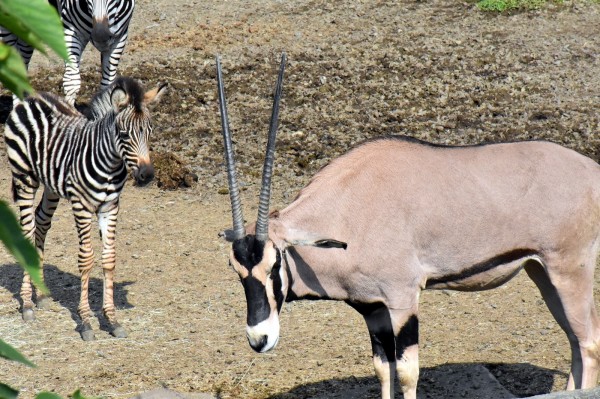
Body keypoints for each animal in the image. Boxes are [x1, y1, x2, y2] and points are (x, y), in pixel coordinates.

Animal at [3, 76, 166, 340]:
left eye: (149, 131)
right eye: (124, 134)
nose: (147, 175)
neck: (111, 164)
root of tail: (33, 96)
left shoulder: (110, 207)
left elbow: (109, 258)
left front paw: (112, 320)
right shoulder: (81, 205)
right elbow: (86, 259)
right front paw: (87, 321)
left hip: (51, 185)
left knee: (42, 223)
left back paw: (42, 294)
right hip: (24, 177)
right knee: (27, 230)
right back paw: (27, 304)